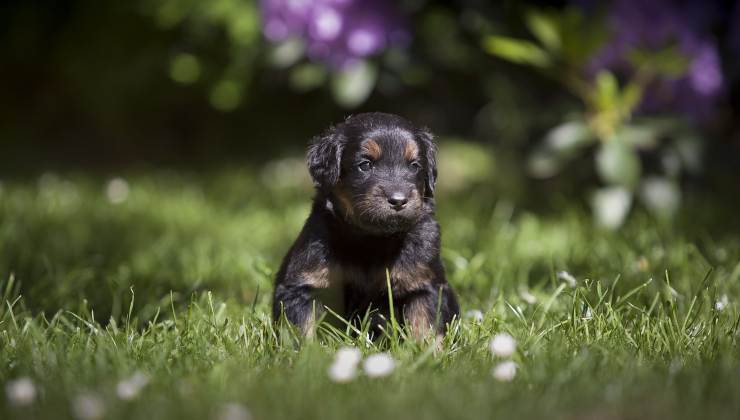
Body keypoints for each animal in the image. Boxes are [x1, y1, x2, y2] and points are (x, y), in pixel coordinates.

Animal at [272, 112, 456, 342]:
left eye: (414, 166)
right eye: (365, 164)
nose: (398, 201)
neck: (372, 239)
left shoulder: (424, 284)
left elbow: (424, 327)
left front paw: (426, 351)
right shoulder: (304, 285)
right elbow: (302, 328)